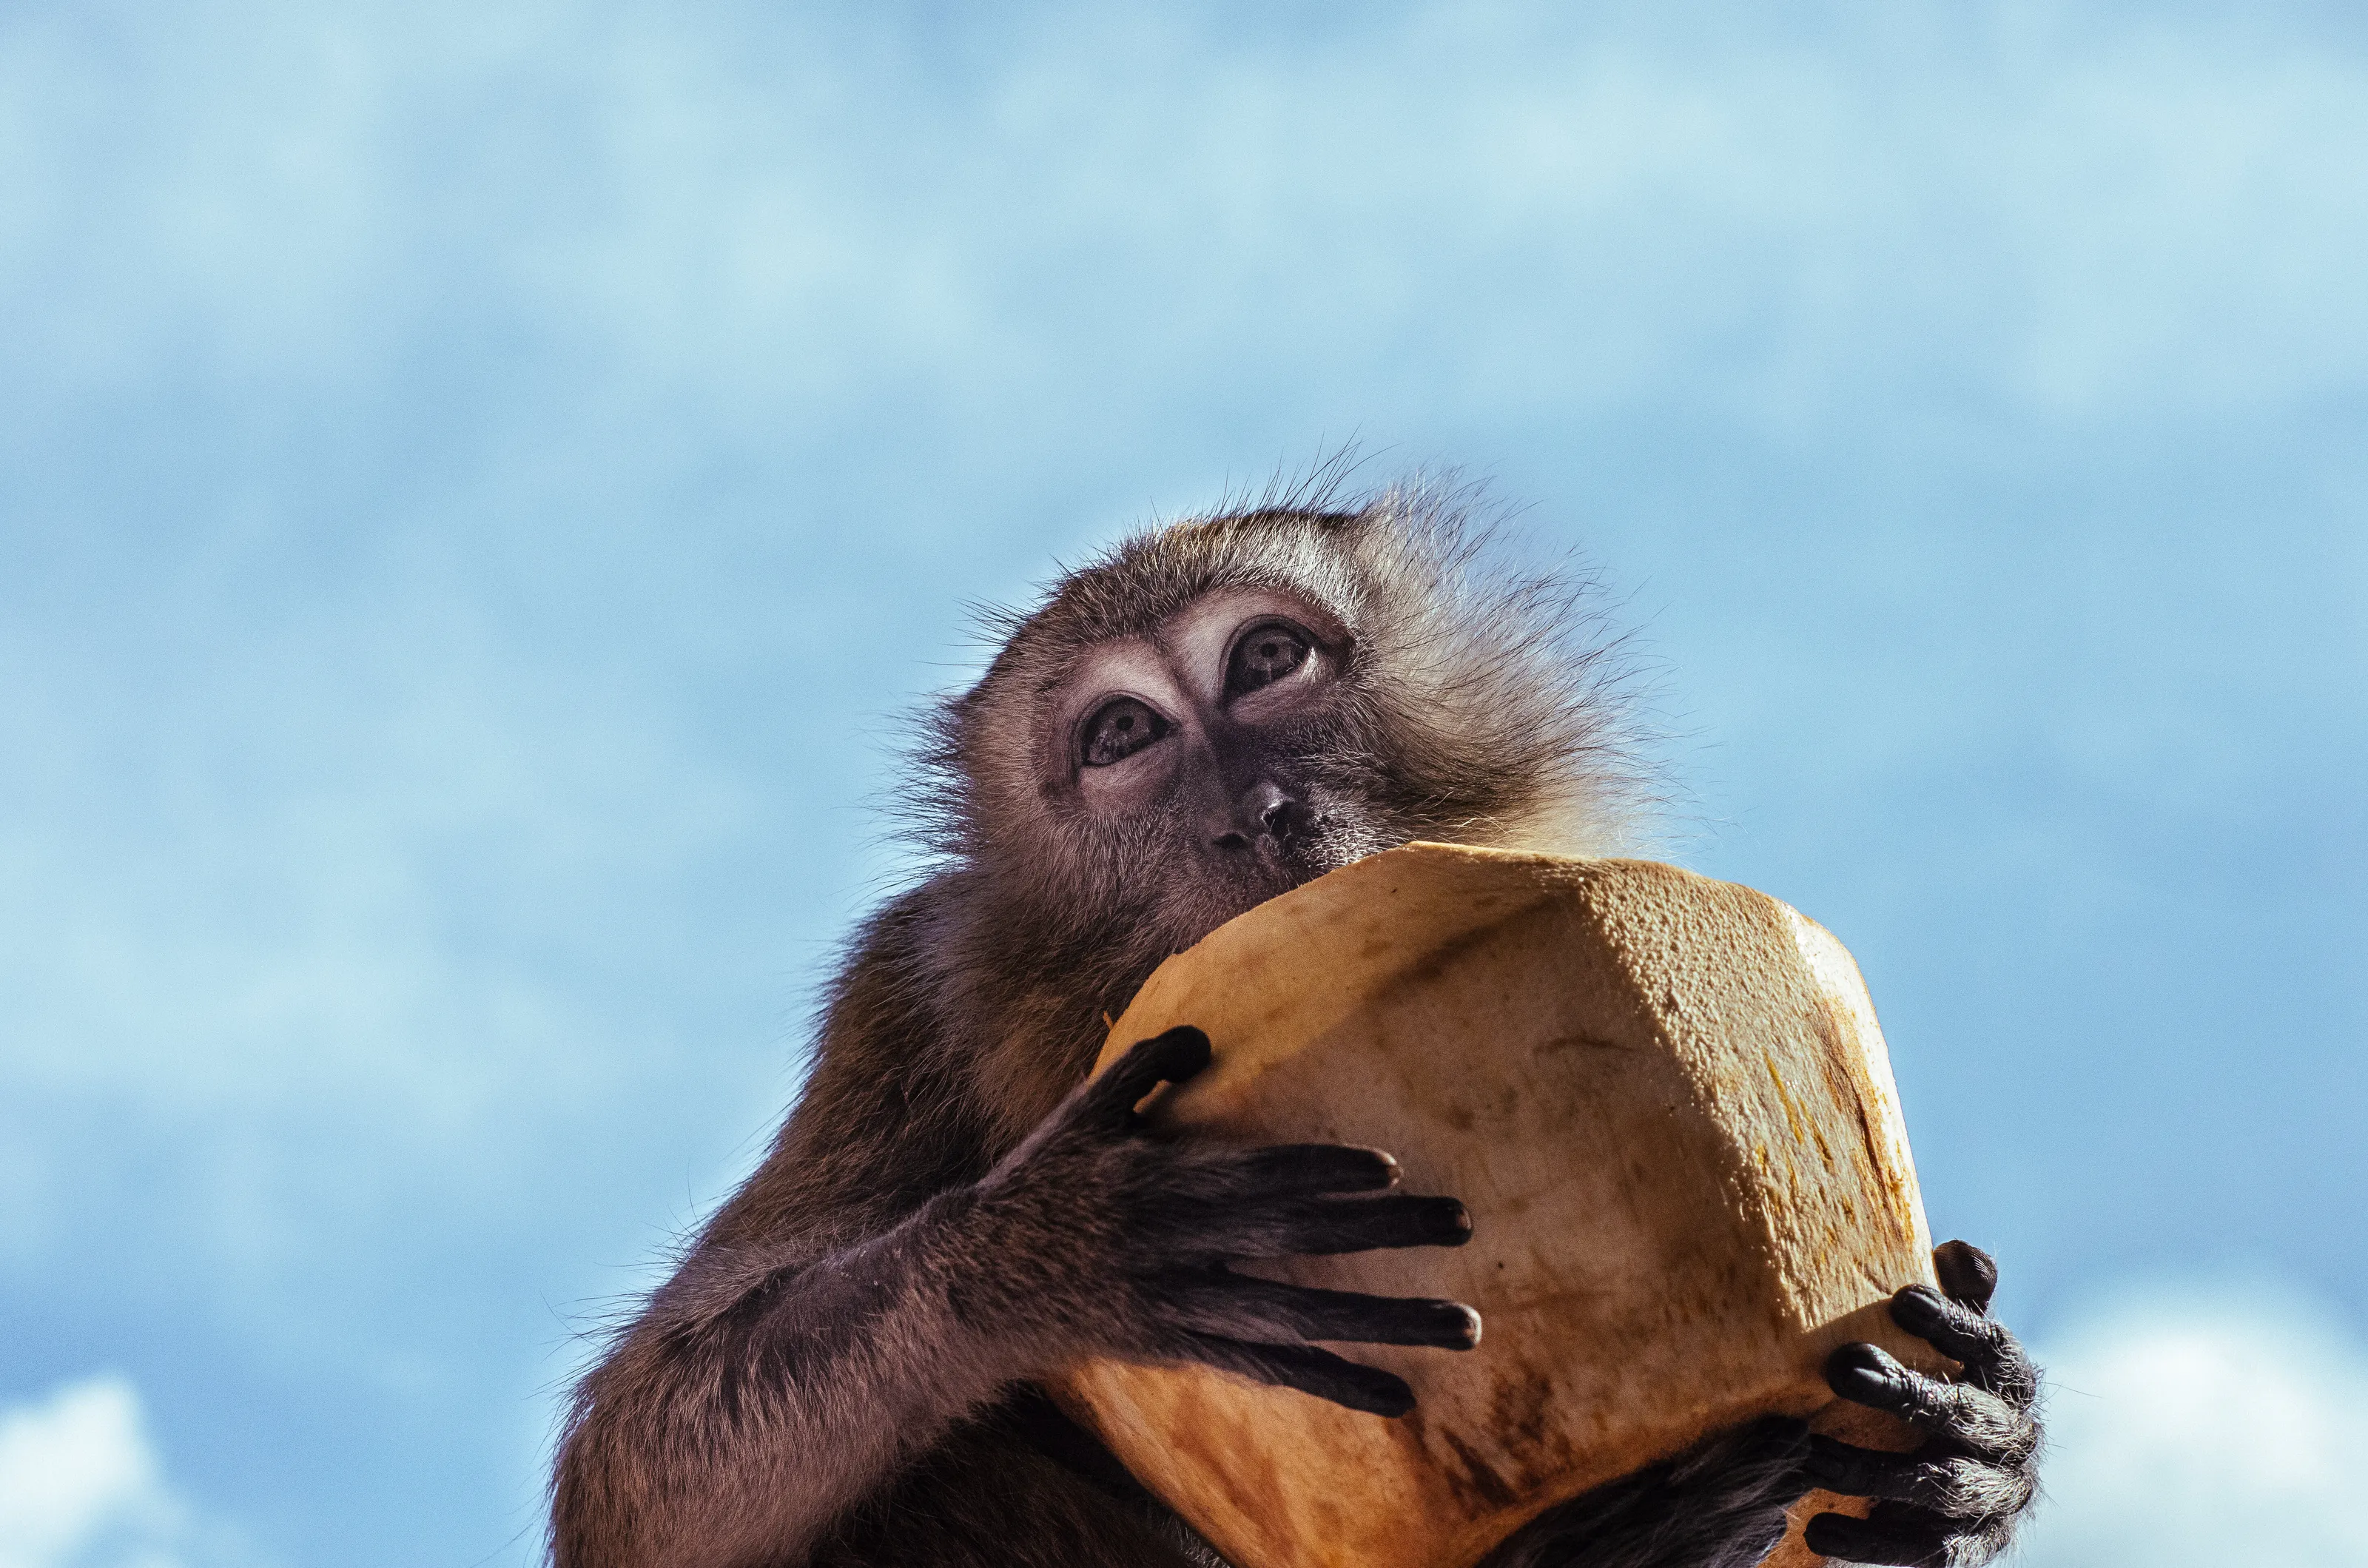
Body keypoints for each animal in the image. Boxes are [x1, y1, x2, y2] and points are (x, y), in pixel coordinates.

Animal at [550, 474, 2043, 1568]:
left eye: (1269, 657)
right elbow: (635, 1466)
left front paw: (1985, 1443)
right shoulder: (907, 992)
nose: (1255, 810)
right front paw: (1049, 1252)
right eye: (1123, 736)